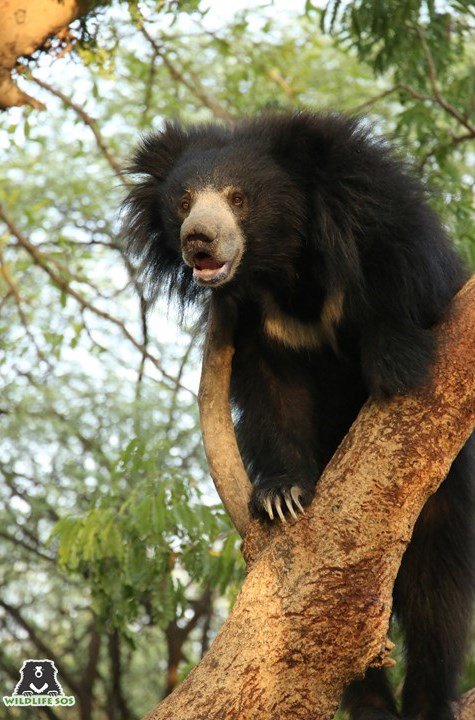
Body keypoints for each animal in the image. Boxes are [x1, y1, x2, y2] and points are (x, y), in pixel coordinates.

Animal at [121, 111, 475, 720]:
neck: (286, 266)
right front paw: (281, 496)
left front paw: (397, 363)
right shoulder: (261, 323)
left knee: (439, 596)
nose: (198, 239)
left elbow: (403, 298)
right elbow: (273, 398)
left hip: (447, 489)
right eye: (184, 200)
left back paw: (431, 699)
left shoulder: (382, 238)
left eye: (239, 198)